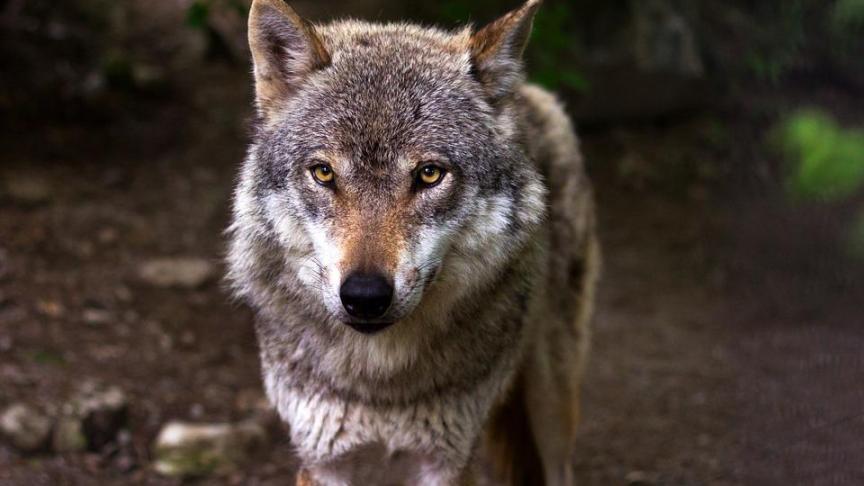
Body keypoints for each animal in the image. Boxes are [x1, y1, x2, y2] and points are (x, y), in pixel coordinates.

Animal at [226, 0, 599, 484]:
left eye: (429, 174)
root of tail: (529, 92)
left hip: (551, 402)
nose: (365, 296)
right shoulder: (324, 459)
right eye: (324, 173)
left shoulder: (447, 460)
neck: (381, 384)